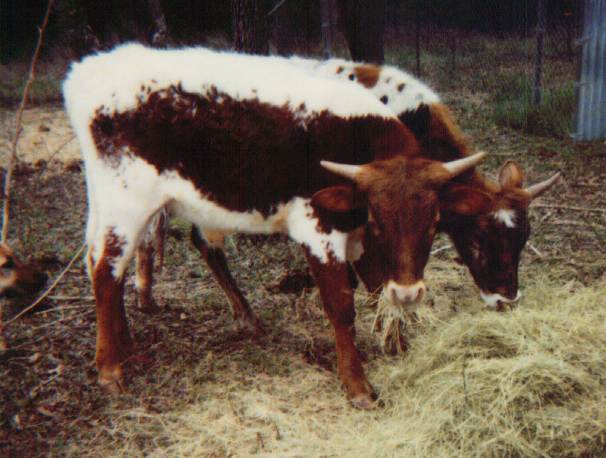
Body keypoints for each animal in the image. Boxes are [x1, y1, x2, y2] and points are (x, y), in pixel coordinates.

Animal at [64, 43, 486, 408]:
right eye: (377, 220)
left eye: (434, 222)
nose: (410, 293)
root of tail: (90, 69)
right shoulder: (320, 230)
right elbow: (342, 306)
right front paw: (357, 385)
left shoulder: (356, 238)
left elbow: (375, 287)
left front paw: (396, 344)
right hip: (127, 204)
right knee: (105, 270)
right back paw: (110, 369)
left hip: (109, 204)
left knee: (104, 264)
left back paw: (127, 347)